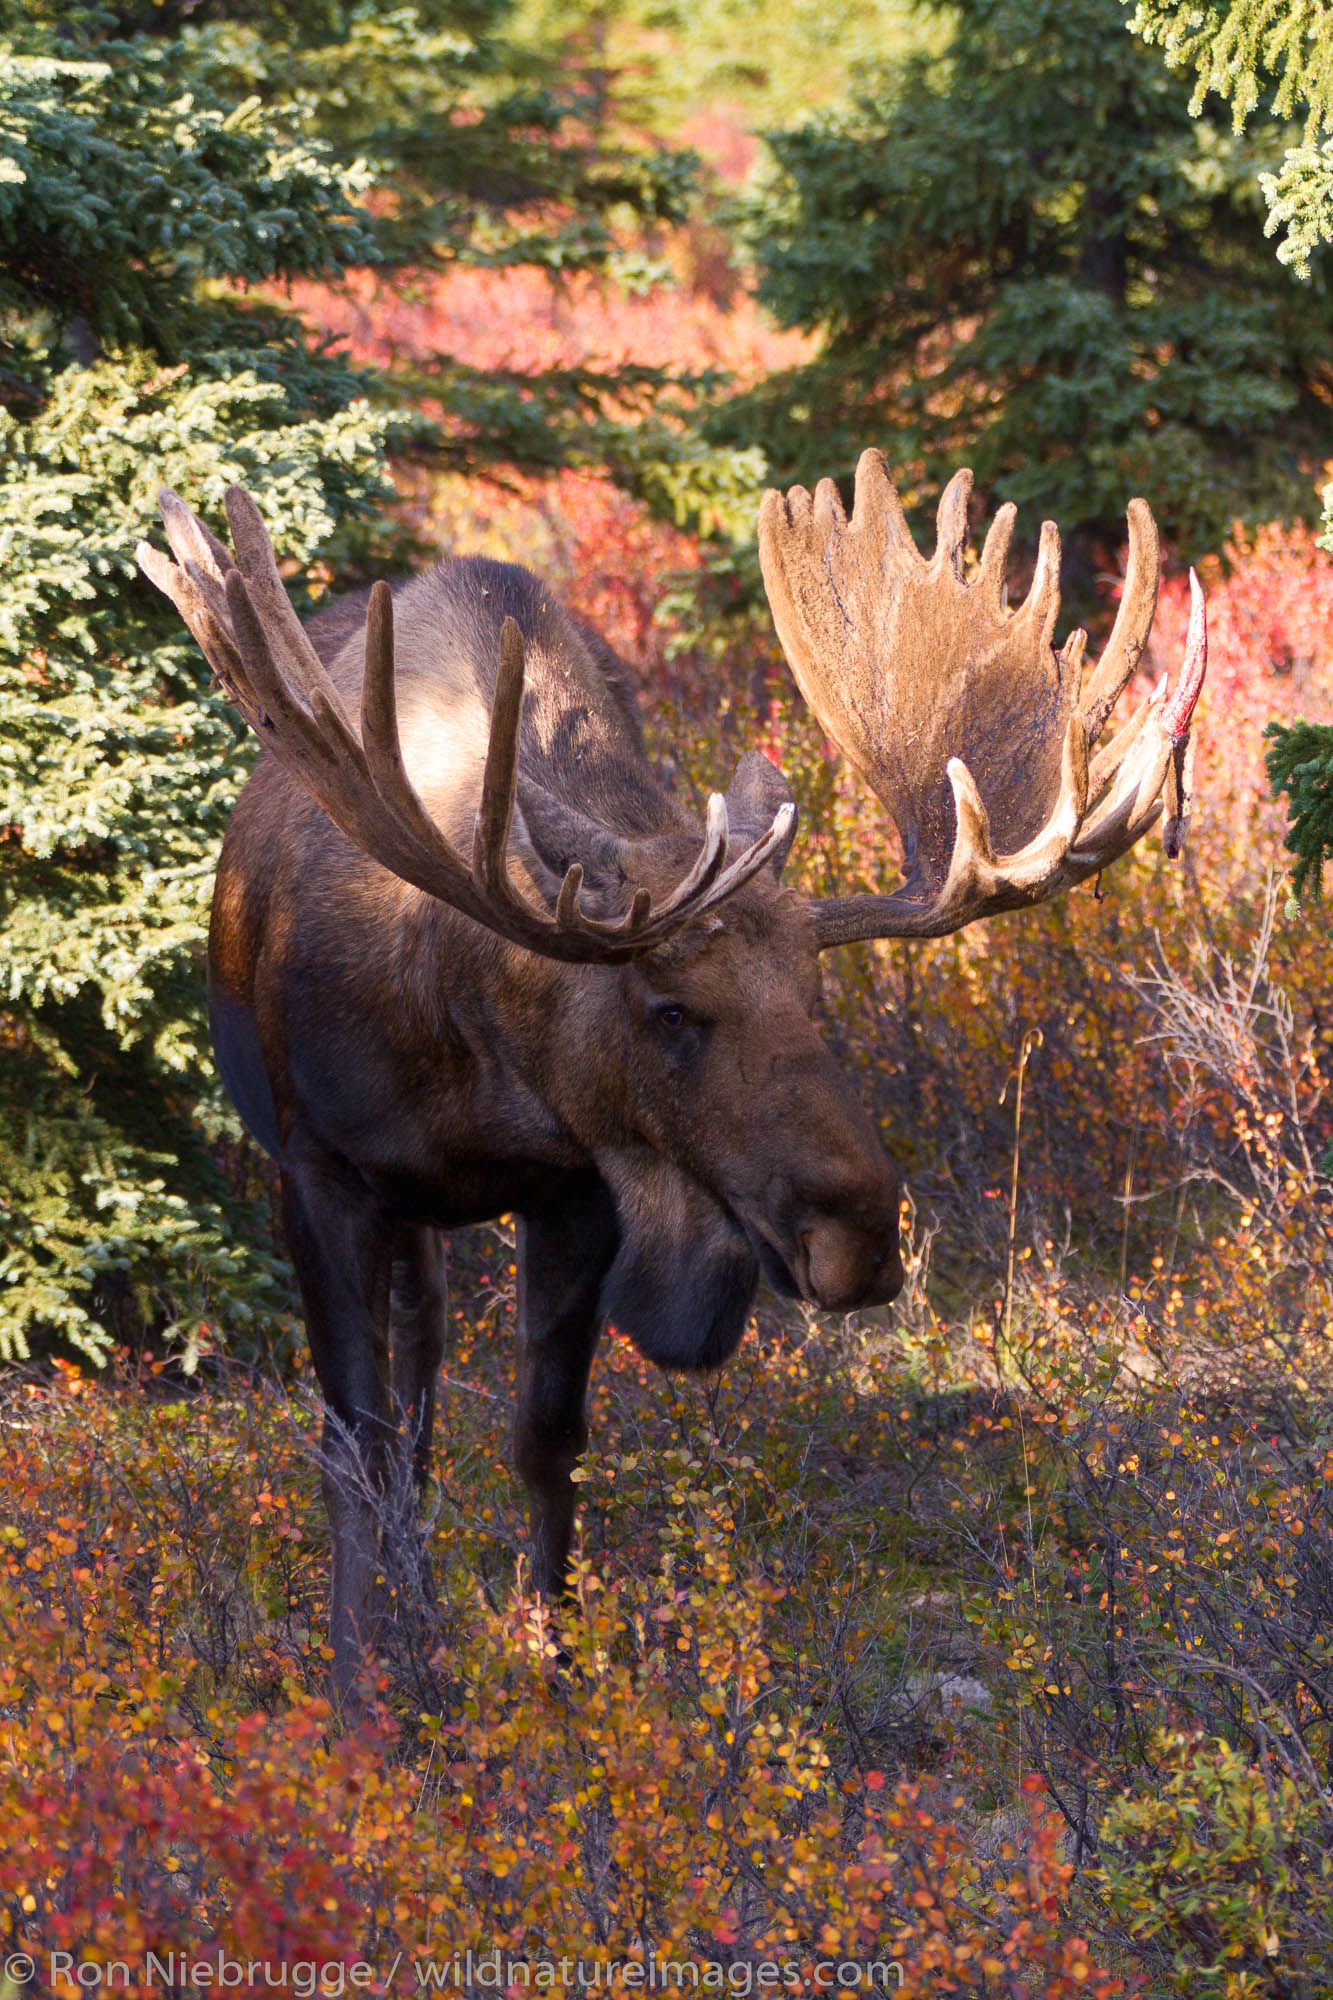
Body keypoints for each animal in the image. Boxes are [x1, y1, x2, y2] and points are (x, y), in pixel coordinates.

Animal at [137, 458, 1200, 1704]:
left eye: (818, 1000)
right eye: (671, 1010)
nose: (862, 1238)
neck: (465, 1041)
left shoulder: (579, 1184)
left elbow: (545, 1440)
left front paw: (547, 1660)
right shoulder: (320, 1169)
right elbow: (355, 1448)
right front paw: (365, 1688)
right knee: (408, 1405)